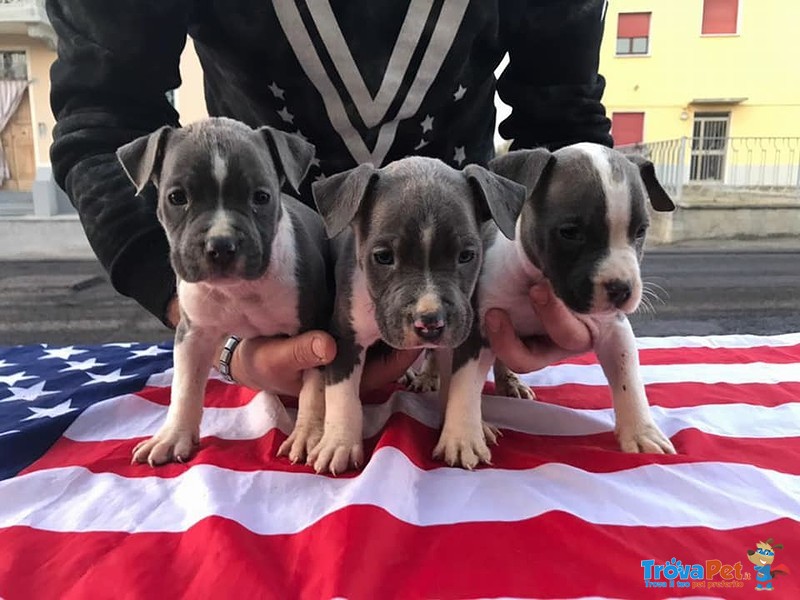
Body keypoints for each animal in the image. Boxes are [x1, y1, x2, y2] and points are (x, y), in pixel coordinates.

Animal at [115, 116, 332, 464]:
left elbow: (315, 386)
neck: (240, 289)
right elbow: (185, 387)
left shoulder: (317, 327)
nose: (221, 245)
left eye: (261, 197)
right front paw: (173, 435)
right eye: (177, 197)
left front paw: (309, 434)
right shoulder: (193, 333)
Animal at [306, 157, 524, 476]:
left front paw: (462, 437)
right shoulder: (344, 339)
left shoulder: (468, 335)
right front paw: (339, 443)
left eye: (466, 255)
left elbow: (464, 387)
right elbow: (341, 394)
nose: (430, 322)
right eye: (383, 257)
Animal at [440, 142, 680, 468]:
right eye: (570, 232)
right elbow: (464, 384)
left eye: (641, 231)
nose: (621, 289)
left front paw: (642, 431)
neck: (537, 280)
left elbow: (629, 379)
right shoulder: (477, 329)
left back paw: (509, 382)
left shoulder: (614, 330)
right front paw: (464, 436)